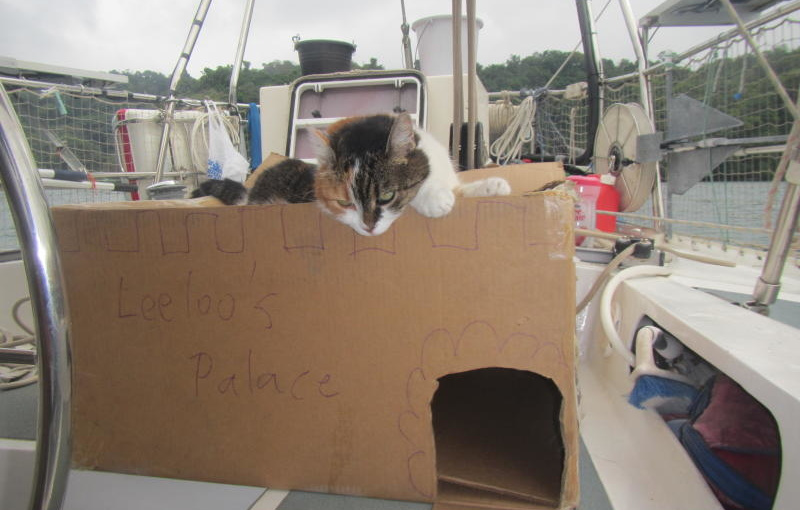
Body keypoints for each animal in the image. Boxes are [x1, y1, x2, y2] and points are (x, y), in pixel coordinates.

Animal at [191, 112, 510, 236]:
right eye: (345, 202)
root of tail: (250, 194)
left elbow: (461, 187)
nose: (368, 227)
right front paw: (436, 200)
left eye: (385, 195)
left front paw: (494, 185)